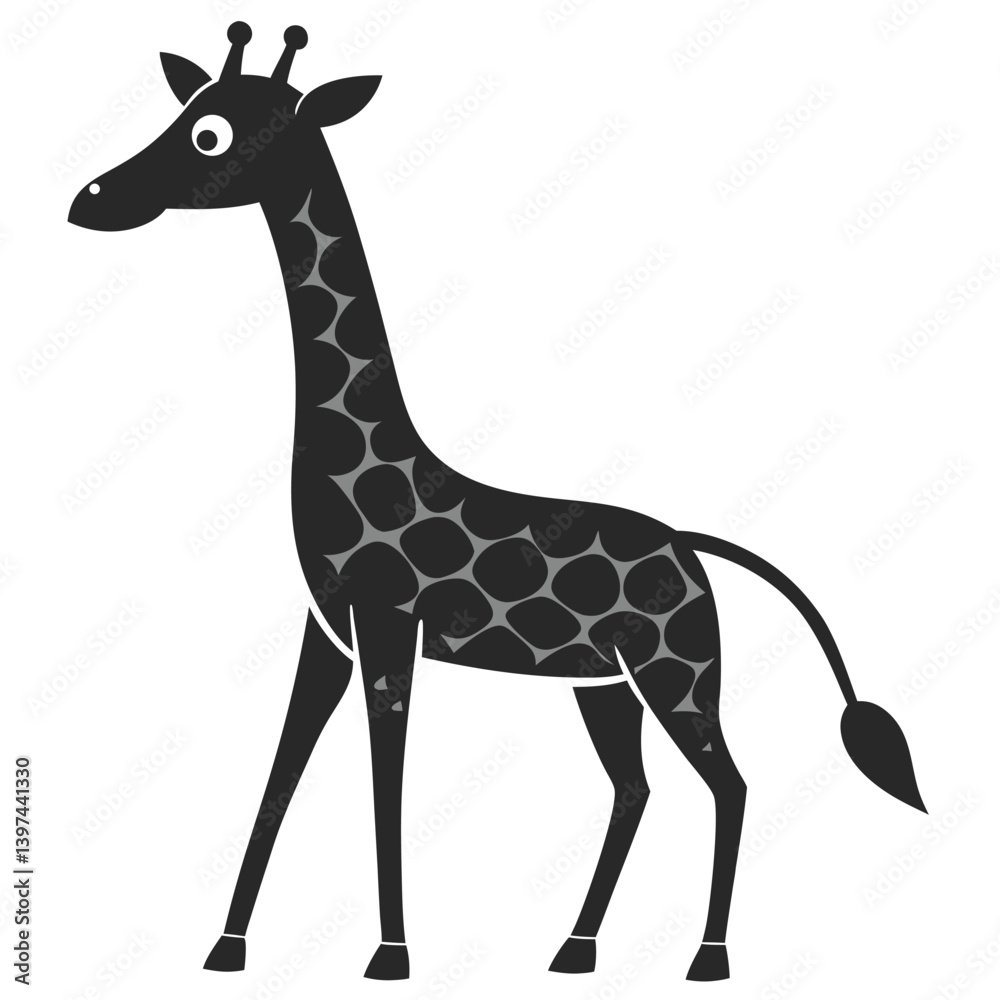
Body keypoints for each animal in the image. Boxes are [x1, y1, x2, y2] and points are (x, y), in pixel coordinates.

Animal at [69, 22, 926, 984]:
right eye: (184, 109)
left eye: (211, 136)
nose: (91, 198)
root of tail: (690, 545)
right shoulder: (326, 629)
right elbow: (280, 775)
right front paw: (226, 947)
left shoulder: (388, 623)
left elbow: (385, 778)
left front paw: (391, 955)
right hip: (604, 684)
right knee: (636, 787)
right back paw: (575, 949)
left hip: (678, 672)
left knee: (731, 783)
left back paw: (706, 959)